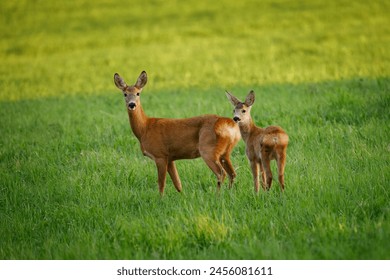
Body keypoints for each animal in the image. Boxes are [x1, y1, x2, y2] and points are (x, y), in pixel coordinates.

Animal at [113, 70, 241, 195]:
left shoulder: (160, 155)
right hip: (225, 152)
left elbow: (161, 183)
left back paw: (217, 196)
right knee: (232, 173)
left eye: (138, 93)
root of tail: (230, 124)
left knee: (221, 173)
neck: (145, 128)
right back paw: (229, 194)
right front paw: (182, 197)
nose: (132, 104)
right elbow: (178, 184)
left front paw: (160, 199)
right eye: (125, 94)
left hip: (208, 149)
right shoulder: (170, 158)